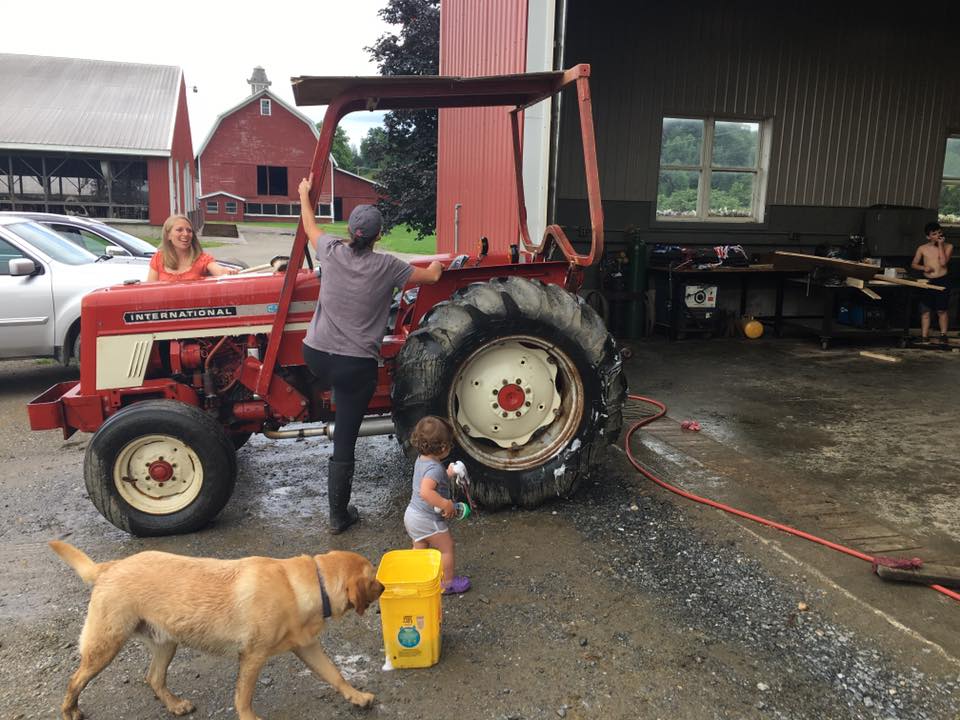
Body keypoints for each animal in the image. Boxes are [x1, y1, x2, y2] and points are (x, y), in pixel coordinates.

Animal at [50, 544, 384, 720]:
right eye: (372, 577)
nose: (384, 587)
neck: (311, 583)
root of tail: (109, 567)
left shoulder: (307, 646)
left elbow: (334, 674)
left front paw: (356, 696)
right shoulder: (252, 656)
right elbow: (243, 698)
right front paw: (249, 718)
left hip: (166, 643)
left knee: (153, 678)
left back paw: (175, 704)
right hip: (105, 645)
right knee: (74, 680)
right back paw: (70, 710)